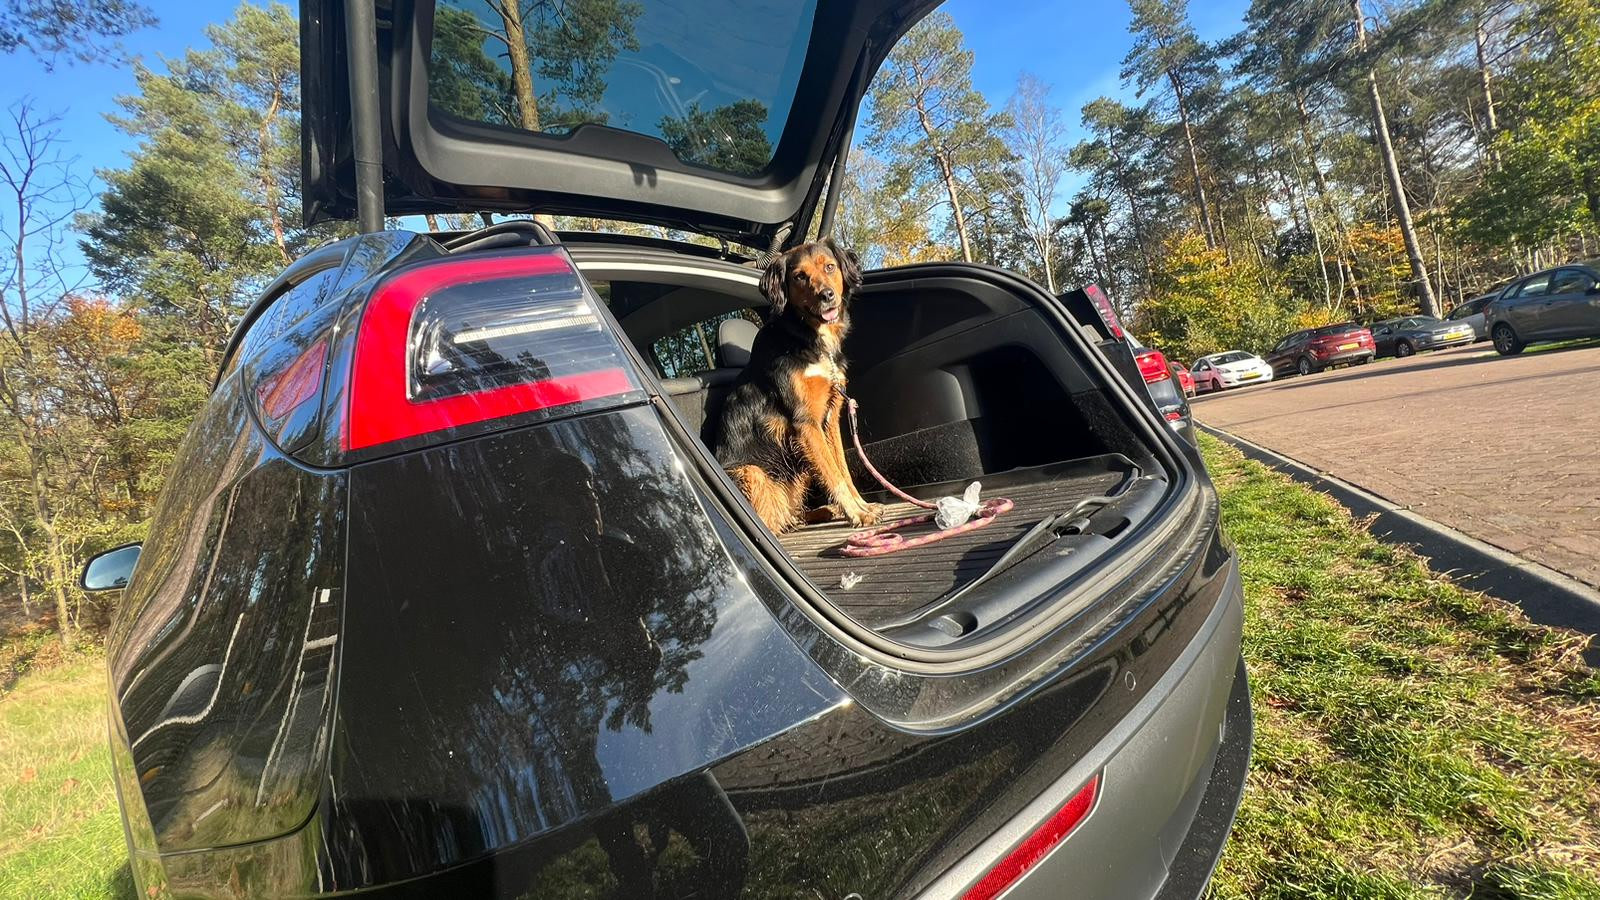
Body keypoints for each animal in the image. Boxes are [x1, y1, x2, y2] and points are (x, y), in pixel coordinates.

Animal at [716, 237, 883, 531]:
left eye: (829, 267)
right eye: (799, 277)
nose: (826, 295)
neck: (808, 338)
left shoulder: (829, 417)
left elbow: (843, 470)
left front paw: (861, 506)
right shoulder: (806, 423)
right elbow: (833, 475)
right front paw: (856, 513)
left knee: (789, 516)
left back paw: (824, 512)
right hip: (753, 471)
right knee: (772, 523)